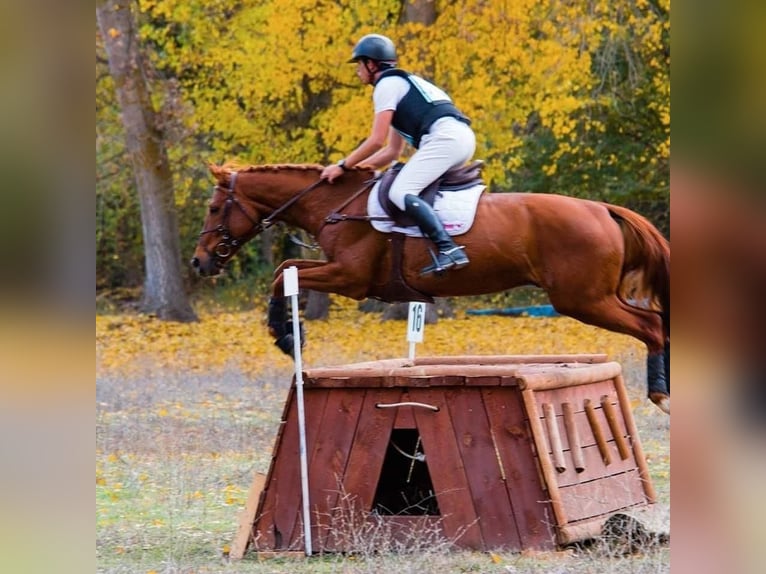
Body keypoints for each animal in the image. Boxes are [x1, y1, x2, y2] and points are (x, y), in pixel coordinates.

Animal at [194, 163, 672, 414]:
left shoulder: (350, 278)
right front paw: (287, 333)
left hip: (583, 299)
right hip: (590, 297)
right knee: (658, 322)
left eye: (215, 208)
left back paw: (661, 394)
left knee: (652, 326)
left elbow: (281, 275)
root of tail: (604, 209)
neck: (337, 205)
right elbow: (286, 268)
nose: (200, 262)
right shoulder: (338, 272)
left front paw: (286, 335)